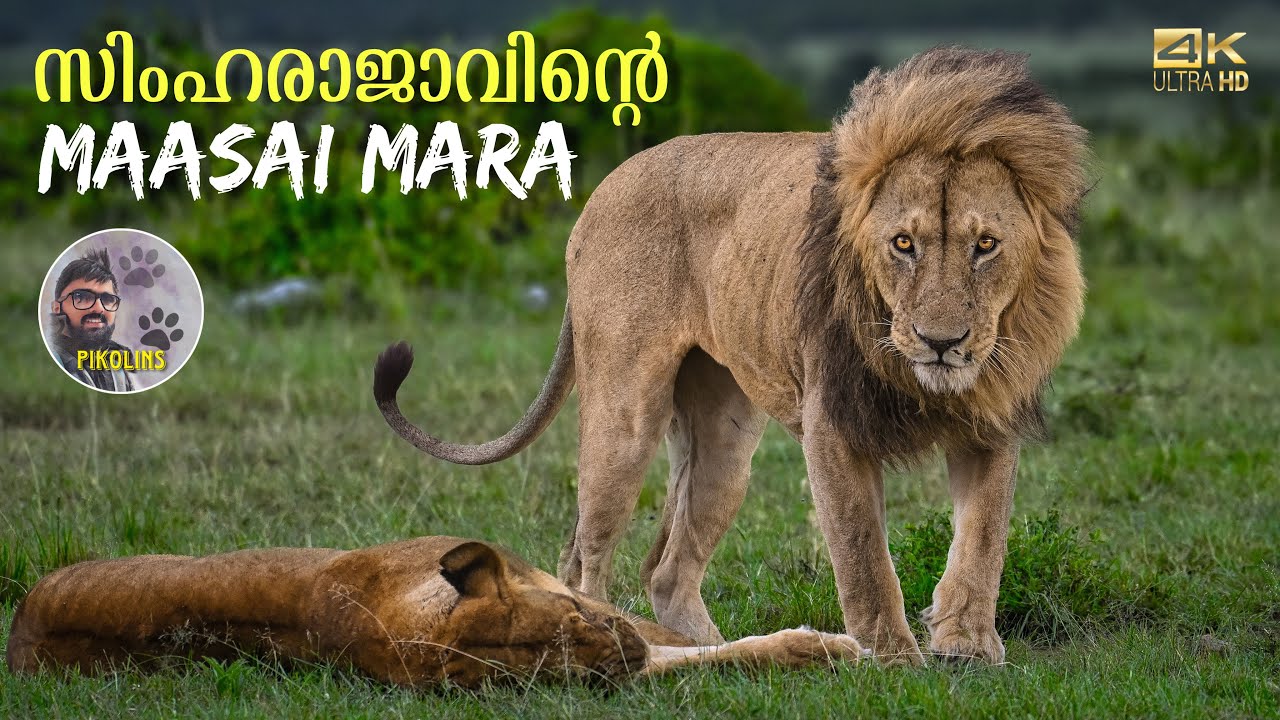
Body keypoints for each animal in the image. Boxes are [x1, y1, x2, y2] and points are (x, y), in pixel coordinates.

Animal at [373, 48, 1088, 666]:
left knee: (666, 569)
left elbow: (984, 539)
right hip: (624, 417)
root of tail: (602, 188)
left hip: (723, 443)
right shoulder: (832, 426)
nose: (943, 342)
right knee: (583, 557)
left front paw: (967, 646)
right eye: (903, 243)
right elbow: (863, 554)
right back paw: (612, 647)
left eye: (986, 245)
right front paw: (892, 660)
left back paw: (713, 651)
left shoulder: (991, 417)